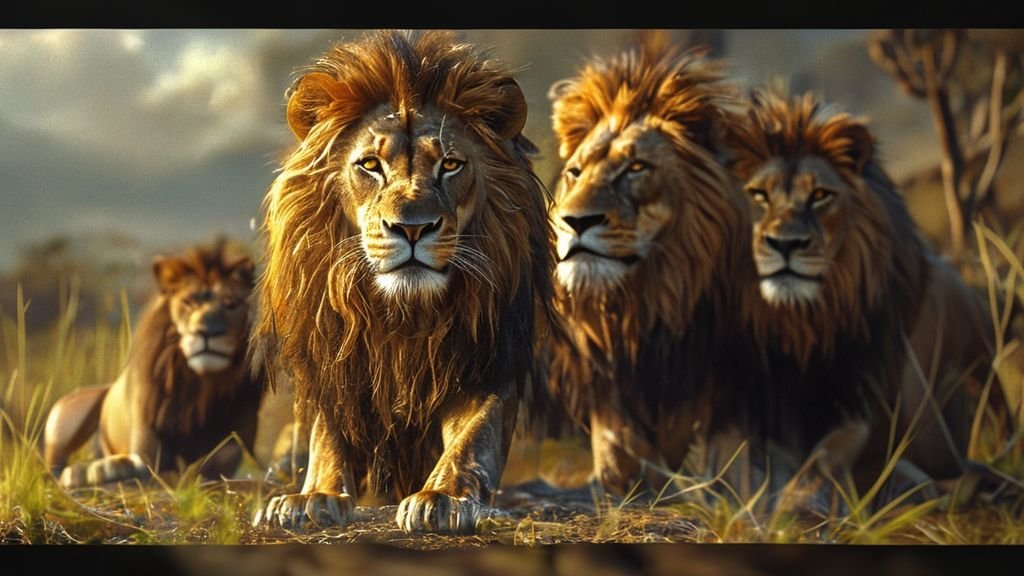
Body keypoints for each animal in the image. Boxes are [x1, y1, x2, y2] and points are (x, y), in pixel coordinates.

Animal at [43, 239, 265, 488]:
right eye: (188, 302)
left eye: (230, 304)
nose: (207, 331)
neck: (200, 386)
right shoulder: (146, 438)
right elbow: (158, 469)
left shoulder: (234, 441)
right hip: (67, 416)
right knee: (54, 465)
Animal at [248, 30, 555, 534]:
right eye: (371, 165)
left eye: (450, 165)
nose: (412, 228)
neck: (405, 314)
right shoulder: (336, 360)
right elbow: (327, 435)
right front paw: (313, 496)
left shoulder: (487, 359)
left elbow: (472, 437)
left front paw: (443, 497)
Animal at [545, 35, 766, 497]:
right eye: (575, 172)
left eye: (636, 168)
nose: (574, 221)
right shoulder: (608, 374)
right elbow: (620, 445)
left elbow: (730, 456)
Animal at [726, 87, 994, 490]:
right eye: (759, 195)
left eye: (820, 194)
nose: (785, 244)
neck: (805, 321)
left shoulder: (867, 412)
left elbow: (824, 459)